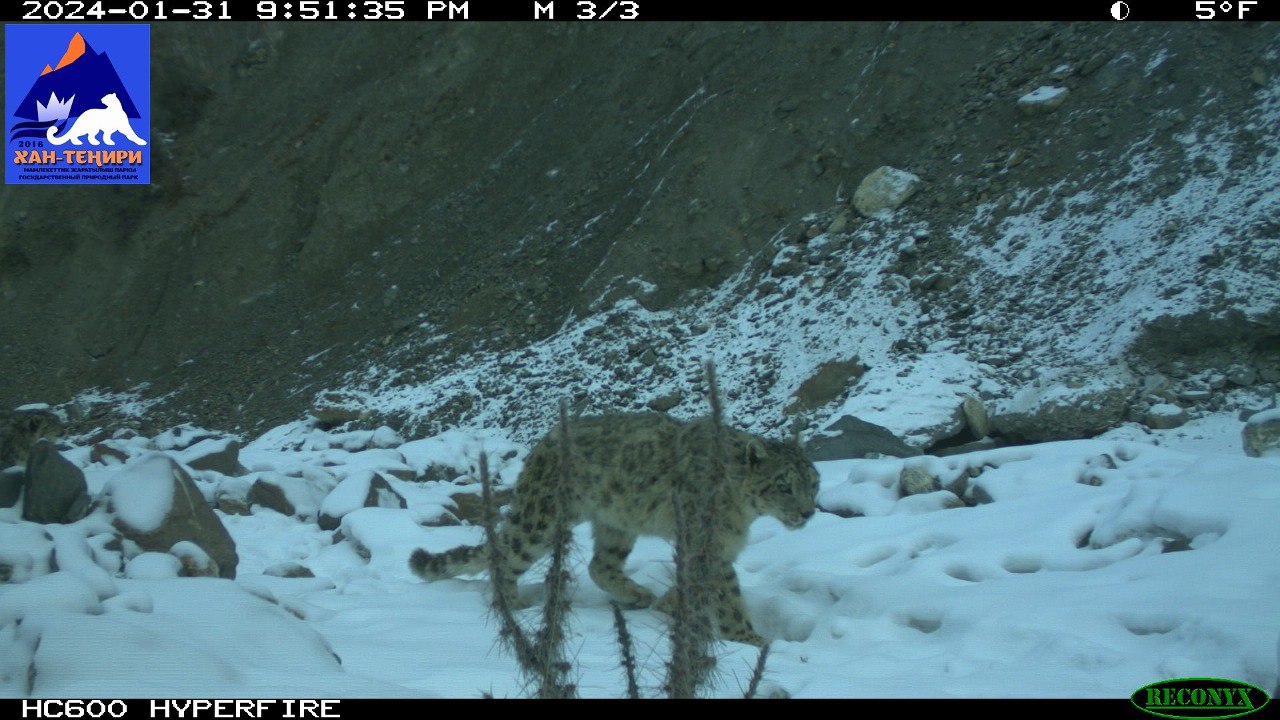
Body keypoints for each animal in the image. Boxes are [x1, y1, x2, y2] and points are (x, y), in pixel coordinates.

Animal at [407, 409, 819, 645]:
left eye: (813, 482)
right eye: (784, 485)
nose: (807, 513)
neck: (742, 512)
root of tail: (541, 445)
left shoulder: (710, 545)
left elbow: (694, 580)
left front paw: (670, 603)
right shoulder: (709, 544)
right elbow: (728, 594)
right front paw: (750, 638)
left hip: (617, 523)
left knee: (599, 564)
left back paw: (637, 595)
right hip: (541, 520)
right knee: (506, 555)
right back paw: (514, 605)